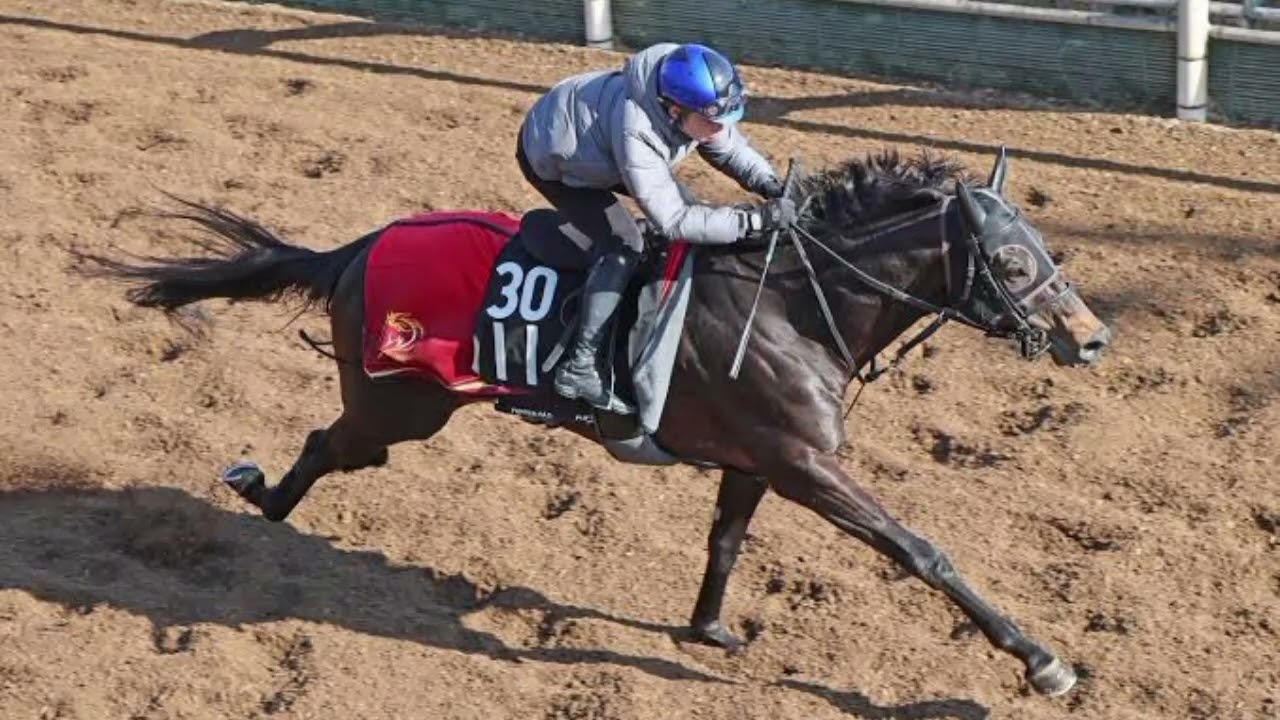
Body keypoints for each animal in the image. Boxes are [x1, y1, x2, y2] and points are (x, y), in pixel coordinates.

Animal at [86, 147, 1112, 698]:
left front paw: (709, 631)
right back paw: (257, 493)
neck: (792, 303)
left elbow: (725, 542)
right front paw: (1041, 661)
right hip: (399, 405)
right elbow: (920, 550)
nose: (1093, 338)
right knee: (325, 446)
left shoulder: (762, 458)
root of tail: (357, 247)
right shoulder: (804, 463)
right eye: (1011, 264)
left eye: (1046, 246)